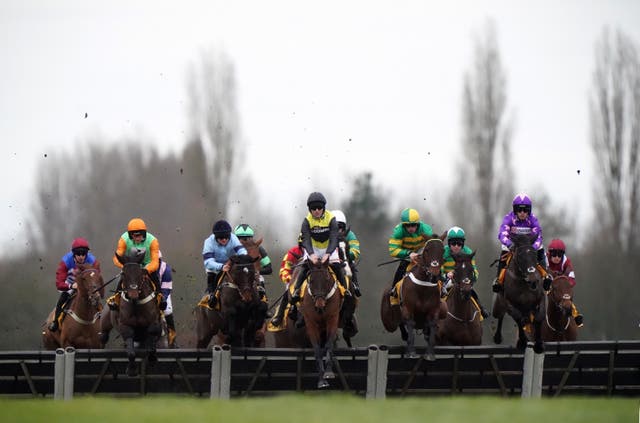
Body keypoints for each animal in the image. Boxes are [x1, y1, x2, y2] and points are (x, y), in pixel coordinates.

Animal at [302, 260, 342, 390]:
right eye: (312, 280)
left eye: (326, 279)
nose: (320, 305)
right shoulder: (311, 323)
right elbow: (317, 349)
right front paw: (321, 380)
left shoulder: (332, 319)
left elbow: (329, 344)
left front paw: (328, 372)